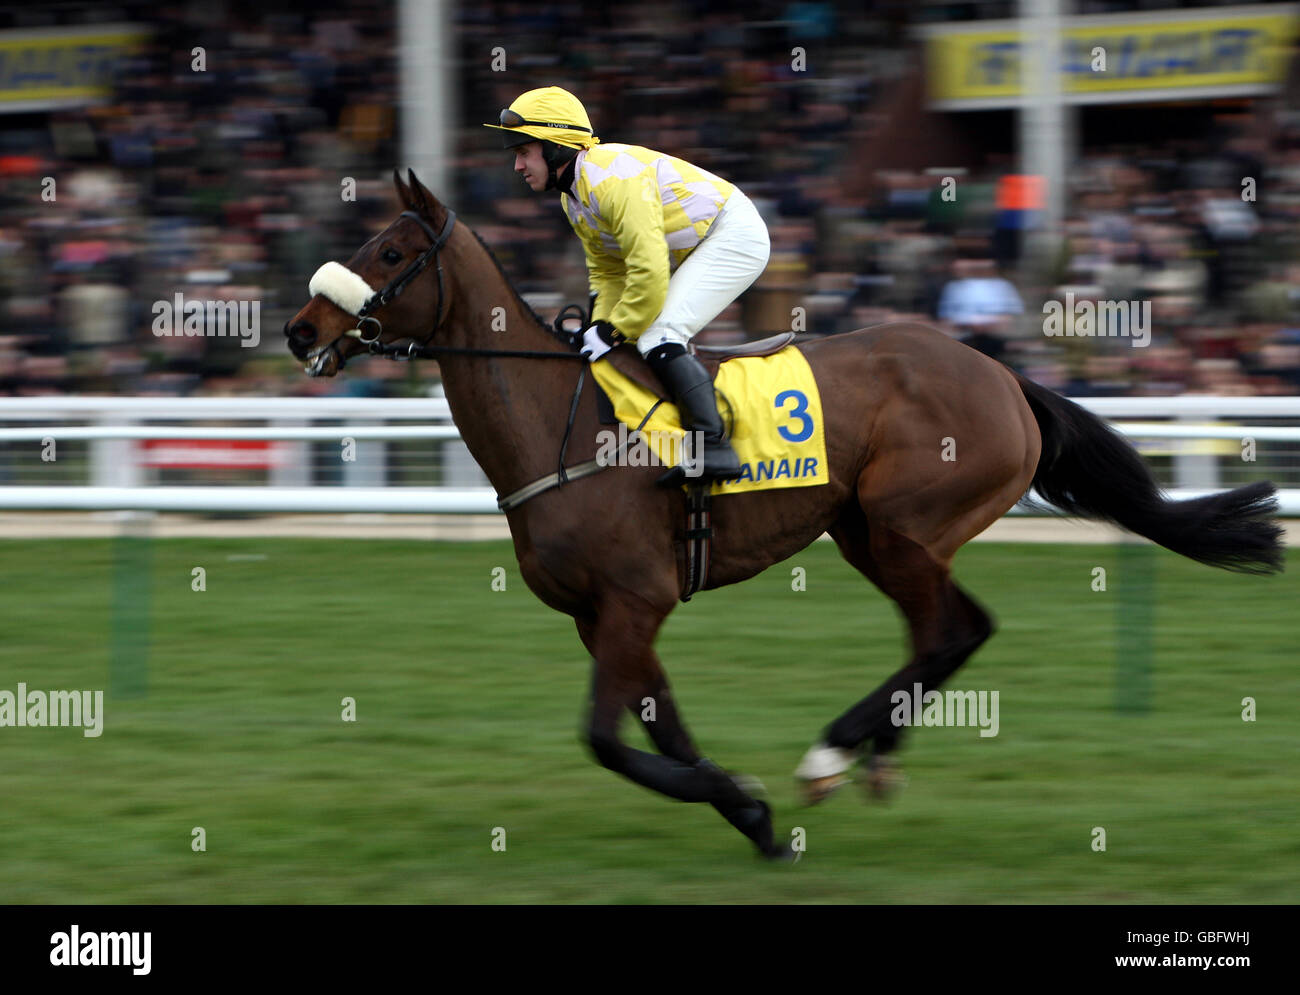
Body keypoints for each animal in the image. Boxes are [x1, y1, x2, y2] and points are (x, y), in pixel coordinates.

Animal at [282, 169, 1279, 853]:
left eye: (390, 253)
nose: (299, 331)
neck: (557, 427)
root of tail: (1001, 373)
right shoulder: (603, 615)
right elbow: (666, 728)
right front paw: (748, 811)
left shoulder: (633, 600)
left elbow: (606, 739)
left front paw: (755, 800)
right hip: (869, 533)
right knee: (952, 630)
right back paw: (870, 757)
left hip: (907, 525)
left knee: (950, 631)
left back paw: (834, 754)